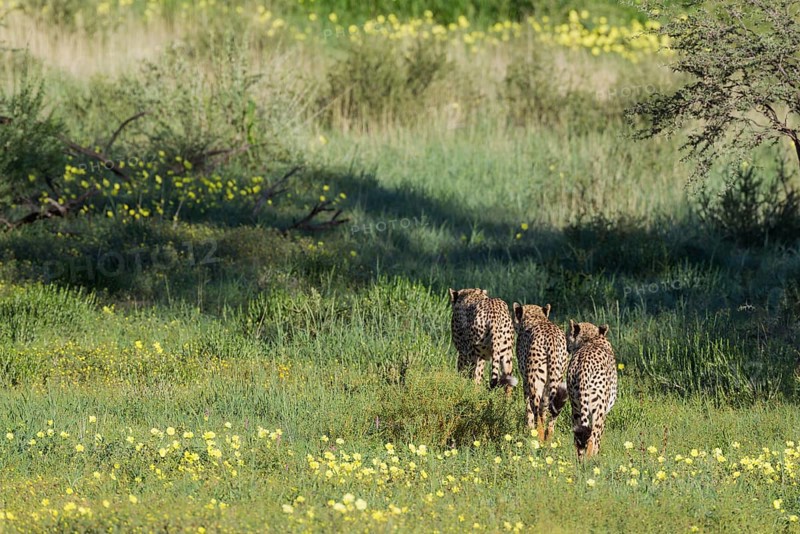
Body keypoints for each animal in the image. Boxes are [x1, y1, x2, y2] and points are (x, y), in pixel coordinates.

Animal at [512, 302, 569, 442]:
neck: (536, 318)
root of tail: (552, 339)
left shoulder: (526, 382)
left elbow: (528, 409)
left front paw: (529, 429)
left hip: (535, 381)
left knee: (537, 409)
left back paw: (538, 436)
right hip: (556, 380)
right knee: (551, 415)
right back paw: (548, 439)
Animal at [566, 320, 618, 459]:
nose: (567, 347)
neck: (591, 339)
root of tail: (583, 367)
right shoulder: (604, 414)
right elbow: (598, 439)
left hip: (576, 409)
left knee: (578, 441)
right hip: (598, 409)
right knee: (592, 438)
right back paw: (592, 460)